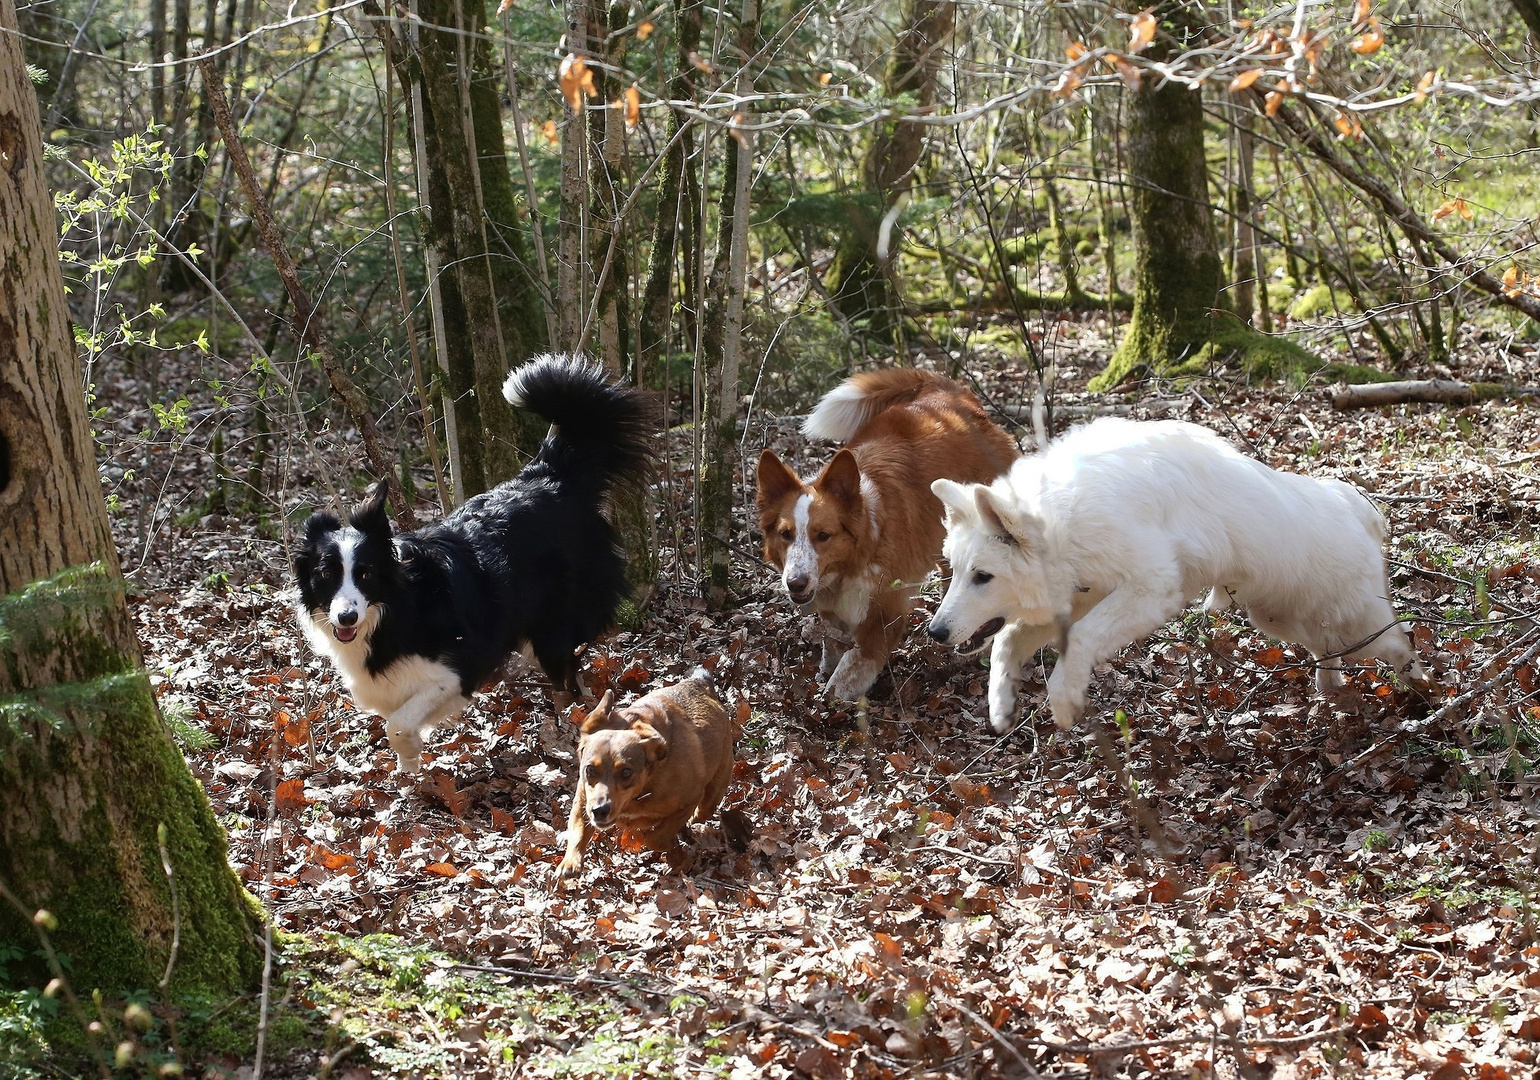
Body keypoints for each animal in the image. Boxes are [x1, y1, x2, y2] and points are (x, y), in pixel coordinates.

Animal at [291, 357, 652, 770]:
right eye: (326, 574)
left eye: (365, 573)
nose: (346, 617)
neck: (393, 609)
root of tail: (550, 479)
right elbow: (397, 720)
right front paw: (408, 773)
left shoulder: (457, 667)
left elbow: (397, 725)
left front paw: (410, 752)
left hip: (553, 623)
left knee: (567, 673)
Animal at [563, 665, 736, 875]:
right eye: (589, 770)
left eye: (626, 772)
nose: (599, 810)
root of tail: (699, 683)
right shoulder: (583, 802)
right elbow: (577, 830)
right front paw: (570, 863)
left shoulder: (690, 798)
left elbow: (655, 838)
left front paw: (671, 844)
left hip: (714, 791)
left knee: (700, 813)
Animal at [757, 368, 1022, 699]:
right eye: (786, 534)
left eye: (823, 535)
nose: (795, 582)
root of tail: (954, 391)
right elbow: (833, 645)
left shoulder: (883, 617)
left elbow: (851, 667)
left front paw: (831, 699)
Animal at [917, 415, 1422, 733]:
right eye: (956, 572)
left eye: (983, 577)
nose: (934, 633)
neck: (1061, 519)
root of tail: (1356, 505)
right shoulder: (1080, 595)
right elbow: (1007, 640)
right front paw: (1001, 705)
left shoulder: (1150, 589)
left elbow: (1077, 641)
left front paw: (1063, 701)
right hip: (1280, 618)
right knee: (1328, 650)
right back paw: (1331, 693)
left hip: (1356, 622)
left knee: (1401, 642)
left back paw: (1421, 694)